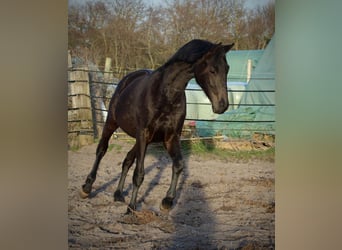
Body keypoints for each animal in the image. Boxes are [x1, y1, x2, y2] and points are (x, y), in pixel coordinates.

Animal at [81, 39, 234, 213]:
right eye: (212, 70)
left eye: (227, 69)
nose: (222, 105)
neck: (165, 94)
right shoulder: (144, 134)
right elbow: (139, 174)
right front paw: (131, 208)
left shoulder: (170, 137)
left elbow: (178, 165)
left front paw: (167, 201)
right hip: (113, 123)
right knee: (101, 150)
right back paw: (87, 187)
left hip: (141, 139)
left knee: (127, 159)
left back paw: (118, 194)